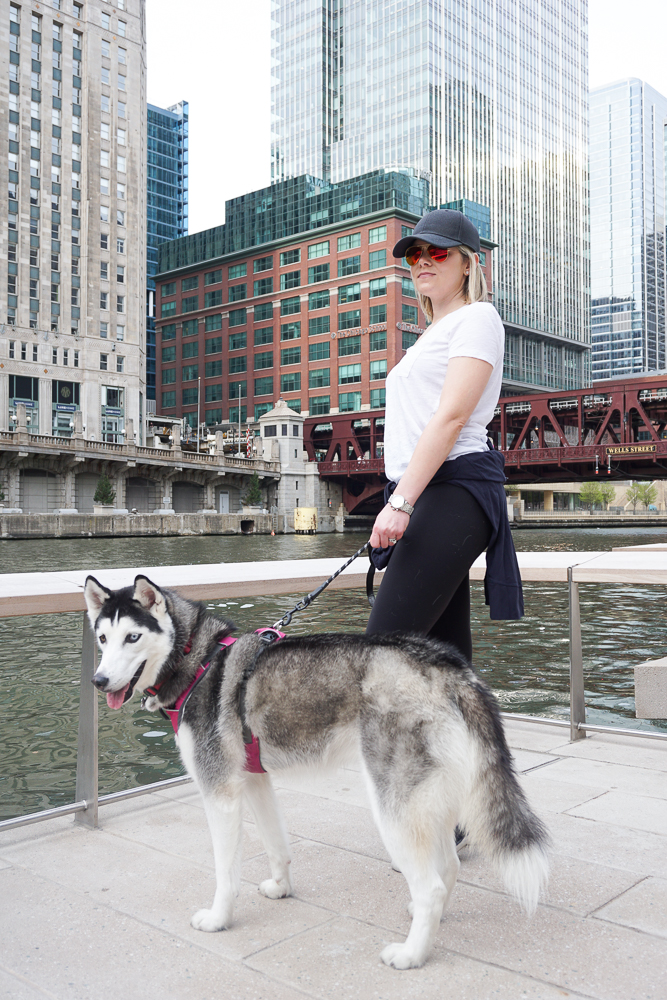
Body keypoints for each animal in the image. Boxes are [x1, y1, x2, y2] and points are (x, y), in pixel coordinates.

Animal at [83, 576, 548, 972]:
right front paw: (281, 887)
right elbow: (276, 844)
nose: (99, 681)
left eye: (133, 637)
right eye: (103, 638)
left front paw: (218, 918)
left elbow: (225, 871)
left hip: (393, 805)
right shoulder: (254, 779)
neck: (198, 660)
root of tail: (449, 667)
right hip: (431, 796)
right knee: (447, 867)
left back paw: (412, 954)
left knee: (431, 885)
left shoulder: (221, 792)